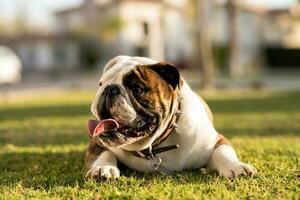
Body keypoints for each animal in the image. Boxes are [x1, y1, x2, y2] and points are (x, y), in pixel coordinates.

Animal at [84, 55, 255, 180]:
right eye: (100, 84)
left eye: (136, 88)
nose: (109, 88)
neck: (153, 146)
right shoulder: (97, 142)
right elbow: (104, 153)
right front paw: (102, 168)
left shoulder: (216, 141)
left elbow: (224, 153)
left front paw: (236, 166)